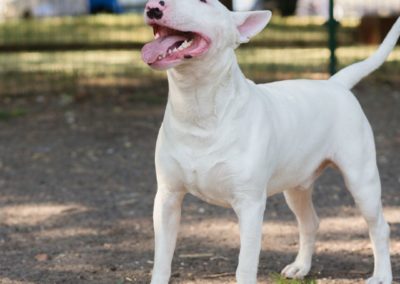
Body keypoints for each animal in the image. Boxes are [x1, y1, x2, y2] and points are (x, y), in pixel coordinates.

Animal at [141, 1, 396, 282]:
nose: (153, 7)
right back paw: (300, 267)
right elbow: (162, 260)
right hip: (296, 186)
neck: (198, 107)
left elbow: (245, 266)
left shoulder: (250, 204)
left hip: (361, 179)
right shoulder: (167, 197)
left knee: (379, 226)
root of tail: (335, 84)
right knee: (310, 222)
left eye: (205, 2)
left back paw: (382, 274)